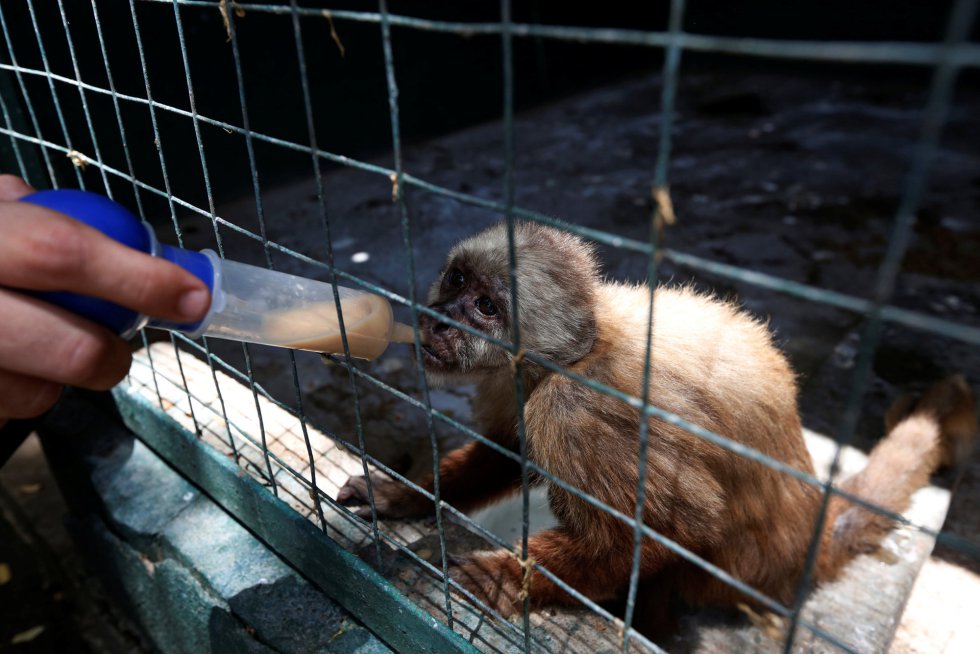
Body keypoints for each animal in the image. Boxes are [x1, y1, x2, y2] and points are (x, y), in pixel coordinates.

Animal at [337, 220, 977, 630]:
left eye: (487, 308)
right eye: (458, 281)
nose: (441, 319)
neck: (576, 353)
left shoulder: (576, 411)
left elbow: (672, 531)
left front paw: (507, 579)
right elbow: (503, 454)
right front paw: (406, 495)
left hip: (738, 570)